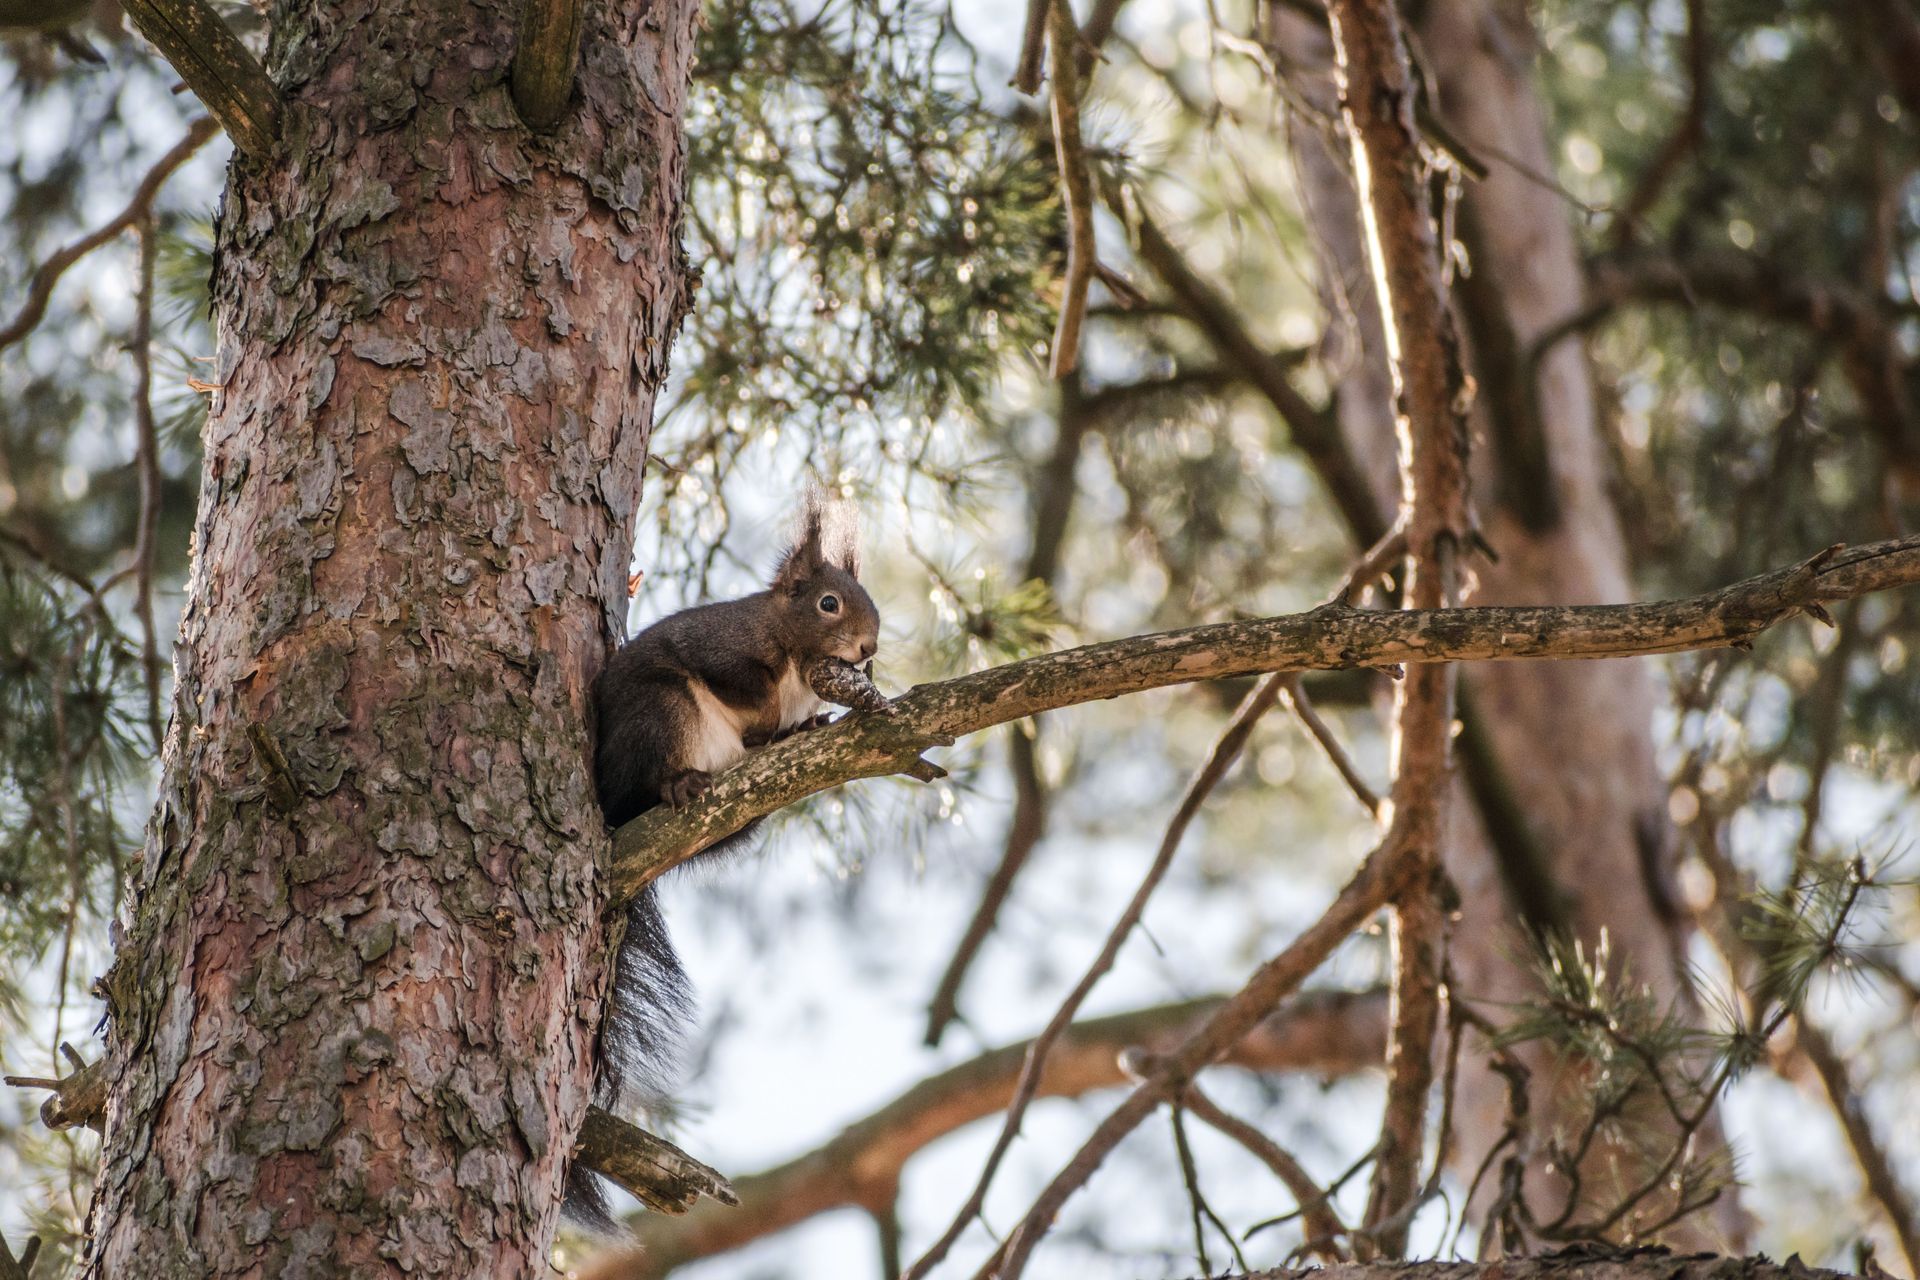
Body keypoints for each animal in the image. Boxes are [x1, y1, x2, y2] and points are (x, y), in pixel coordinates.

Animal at [567, 490, 881, 1229]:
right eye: (829, 603)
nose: (870, 648)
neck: (791, 651)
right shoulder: (721, 648)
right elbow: (741, 684)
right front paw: (772, 712)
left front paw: (805, 723)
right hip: (660, 714)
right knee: (655, 774)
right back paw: (678, 785)